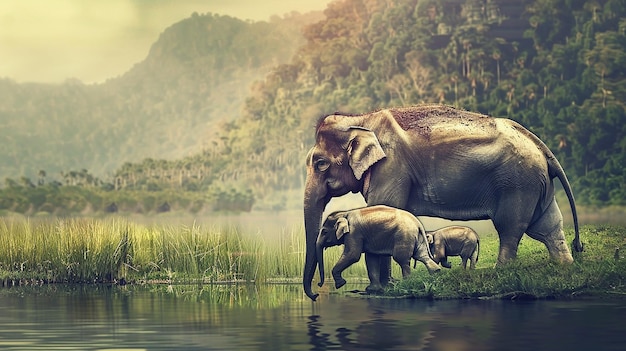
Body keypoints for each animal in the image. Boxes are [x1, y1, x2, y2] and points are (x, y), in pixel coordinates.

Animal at [302, 103, 580, 302]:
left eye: (320, 163)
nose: (316, 293)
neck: (359, 119)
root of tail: (540, 145)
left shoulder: (390, 166)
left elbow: (383, 206)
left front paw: (379, 289)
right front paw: (384, 287)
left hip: (517, 183)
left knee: (511, 228)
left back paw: (500, 273)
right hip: (536, 184)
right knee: (547, 226)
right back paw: (565, 268)